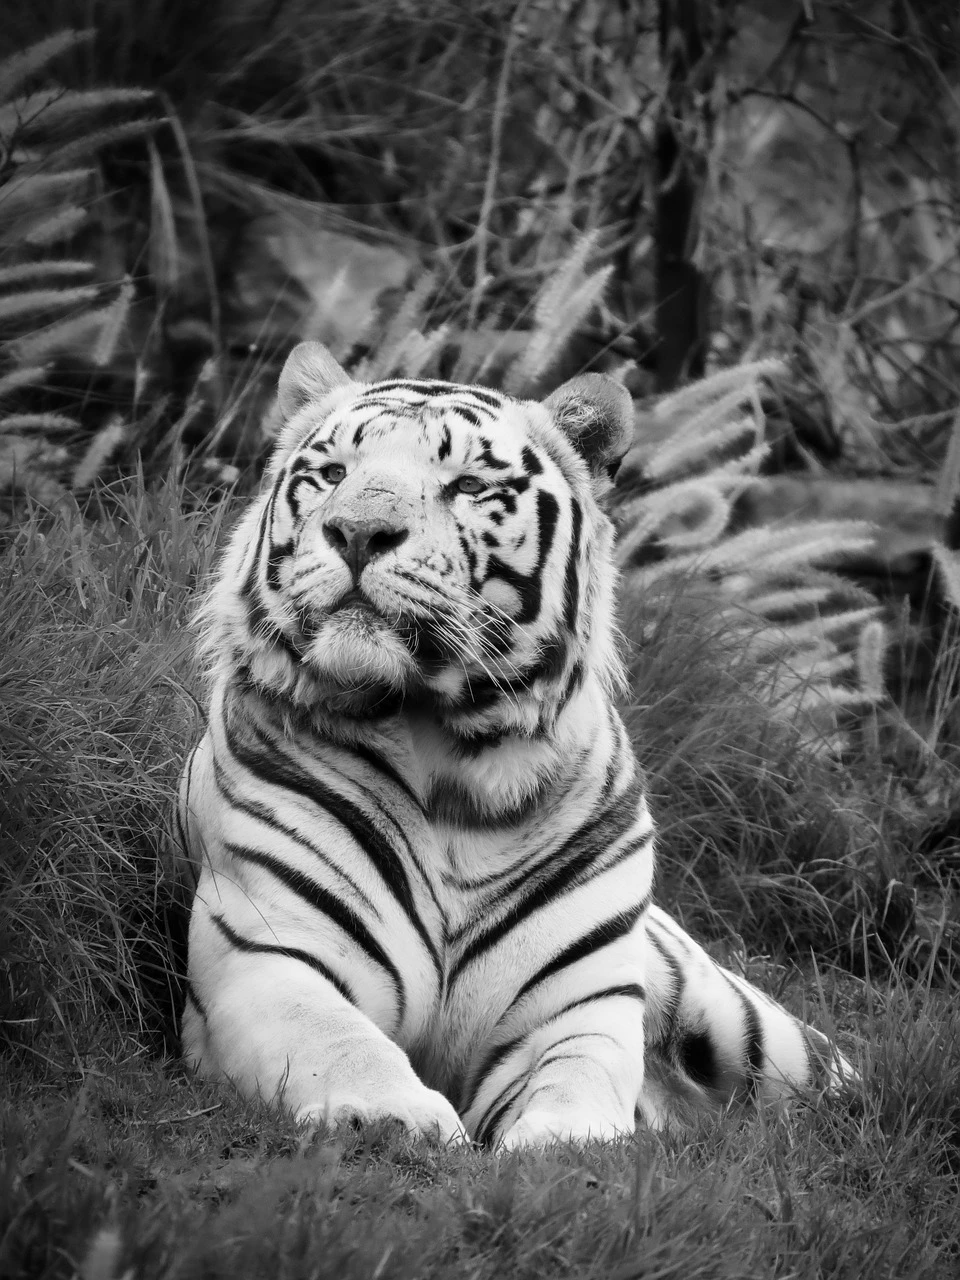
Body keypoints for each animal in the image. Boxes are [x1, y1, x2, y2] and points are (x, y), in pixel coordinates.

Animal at [178, 340, 858, 1148]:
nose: (357, 533)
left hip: (743, 1022)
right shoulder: (269, 952)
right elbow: (341, 1042)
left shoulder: (572, 1009)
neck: (450, 763)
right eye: (334, 474)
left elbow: (578, 1080)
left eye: (467, 486)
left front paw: (568, 1145)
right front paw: (391, 1116)